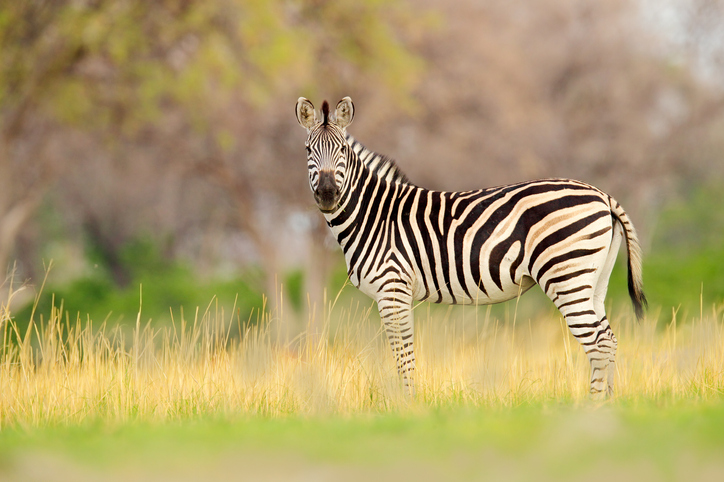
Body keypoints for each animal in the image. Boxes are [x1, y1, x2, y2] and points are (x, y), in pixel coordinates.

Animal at [295, 96, 647, 398]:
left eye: (342, 149)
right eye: (308, 149)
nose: (327, 193)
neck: (374, 215)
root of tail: (602, 195)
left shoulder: (393, 289)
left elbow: (403, 355)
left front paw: (407, 405)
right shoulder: (394, 293)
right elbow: (403, 353)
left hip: (567, 276)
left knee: (598, 344)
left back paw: (593, 407)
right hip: (593, 281)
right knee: (609, 340)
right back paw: (608, 405)